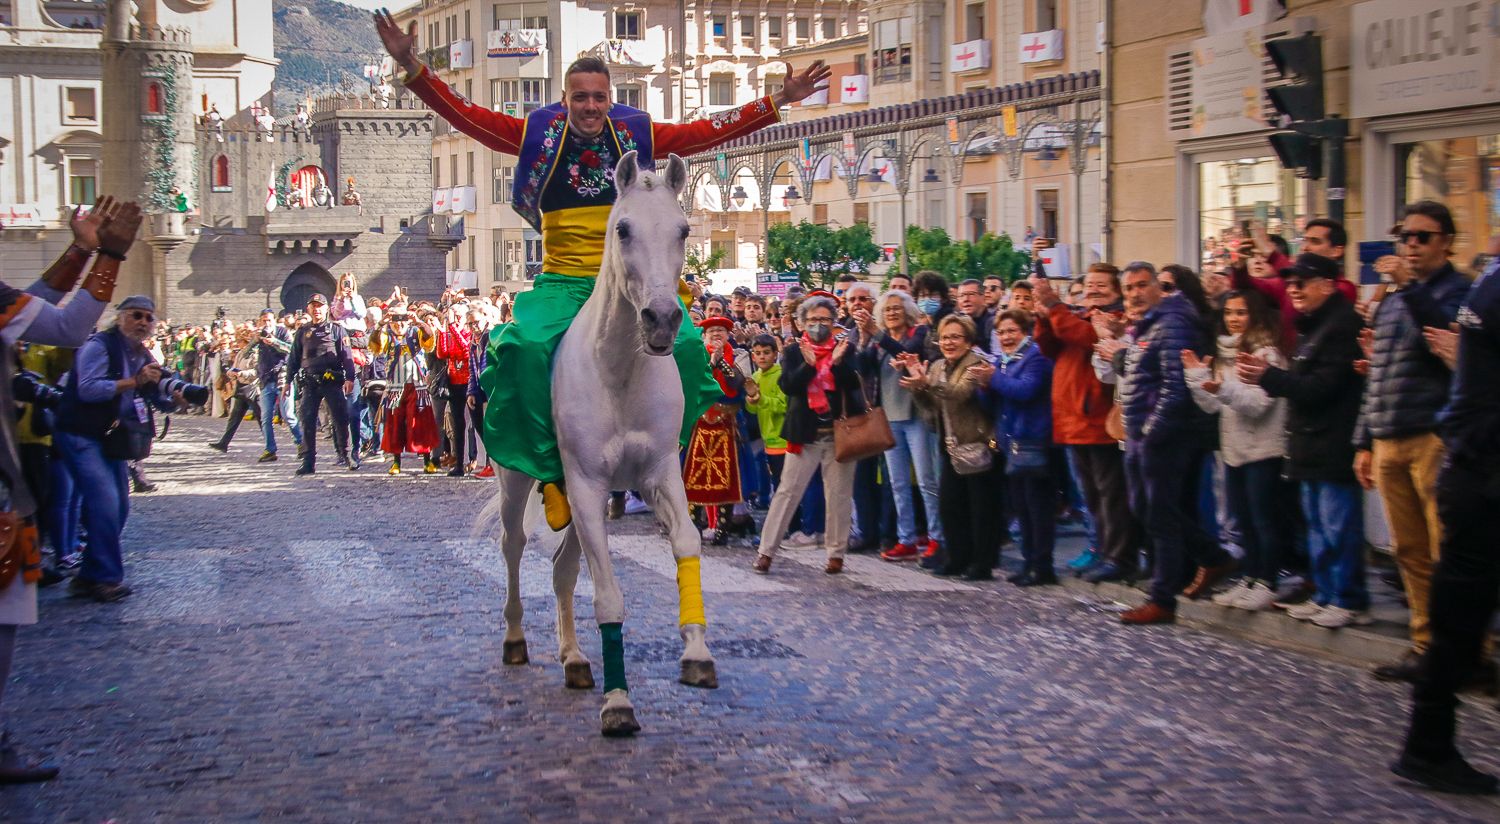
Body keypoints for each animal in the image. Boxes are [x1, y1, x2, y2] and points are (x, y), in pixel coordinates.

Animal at [483, 150, 711, 735]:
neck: (621, 369)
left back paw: (574, 659)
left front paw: (697, 651)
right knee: (514, 546)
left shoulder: (658, 475)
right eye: (623, 228)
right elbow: (607, 592)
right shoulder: (587, 485)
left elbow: (687, 544)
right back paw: (515, 640)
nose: (663, 318)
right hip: (517, 480)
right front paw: (619, 702)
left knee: (563, 567)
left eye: (683, 230)